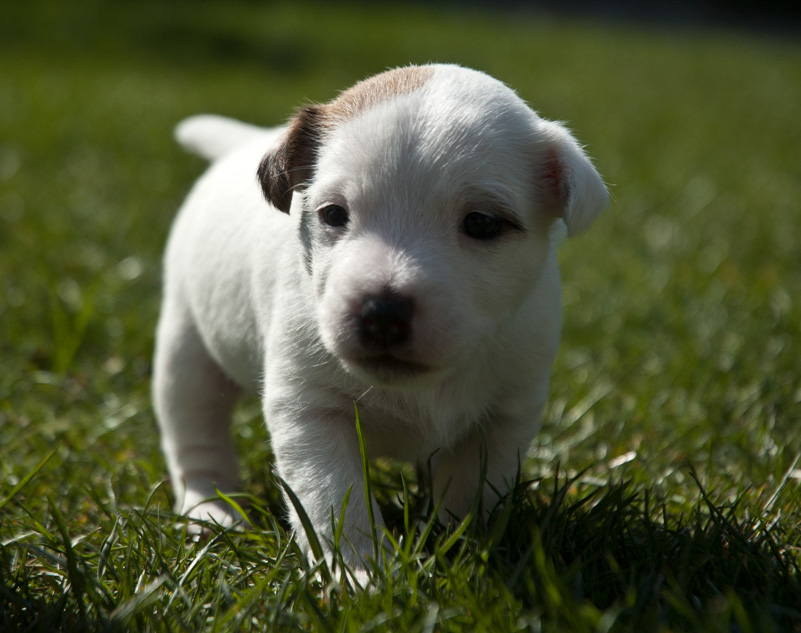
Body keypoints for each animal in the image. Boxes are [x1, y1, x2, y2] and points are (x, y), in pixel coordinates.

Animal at [153, 63, 608, 572]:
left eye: (482, 223)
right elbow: (335, 496)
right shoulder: (311, 412)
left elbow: (469, 489)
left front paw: (455, 547)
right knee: (195, 436)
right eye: (333, 214)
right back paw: (210, 510)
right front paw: (360, 571)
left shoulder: (504, 417)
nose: (382, 313)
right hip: (185, 350)